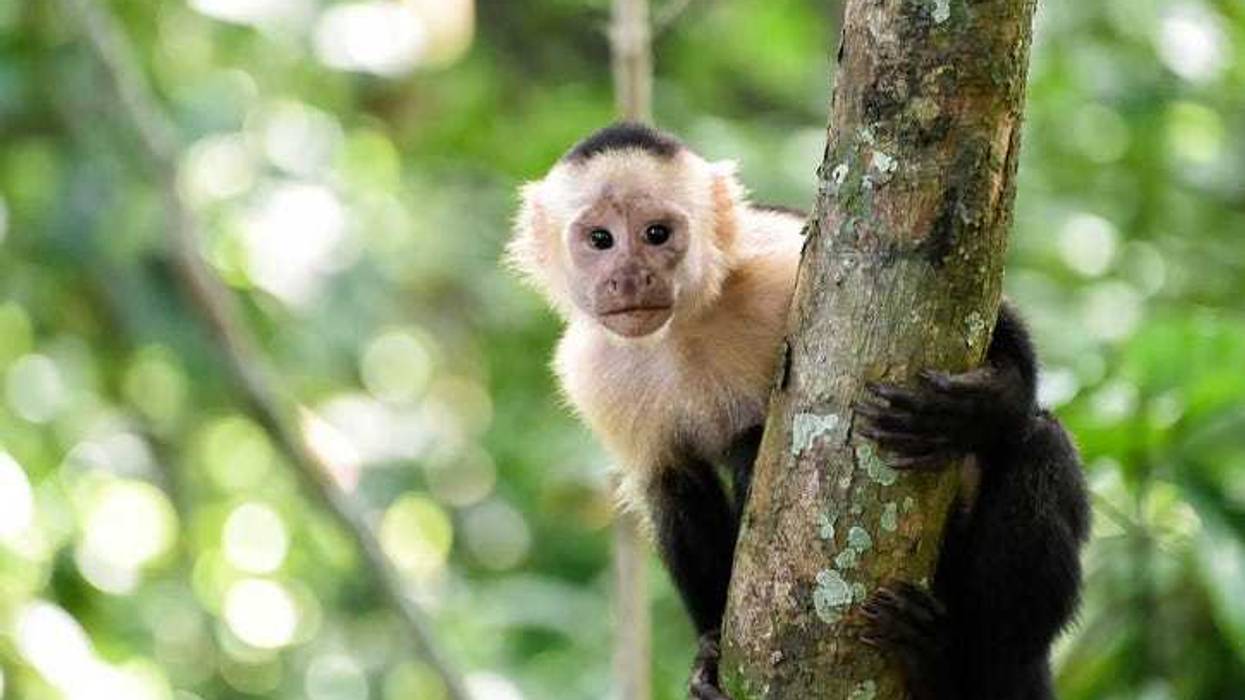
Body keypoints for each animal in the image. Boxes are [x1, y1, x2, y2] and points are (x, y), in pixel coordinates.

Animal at [507, 122, 1089, 700]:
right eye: (600, 239)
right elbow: (675, 488)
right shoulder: (591, 372)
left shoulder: (776, 263)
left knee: (1039, 444)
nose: (630, 278)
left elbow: (995, 320)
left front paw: (978, 405)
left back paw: (953, 660)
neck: (683, 327)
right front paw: (709, 652)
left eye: (656, 233)